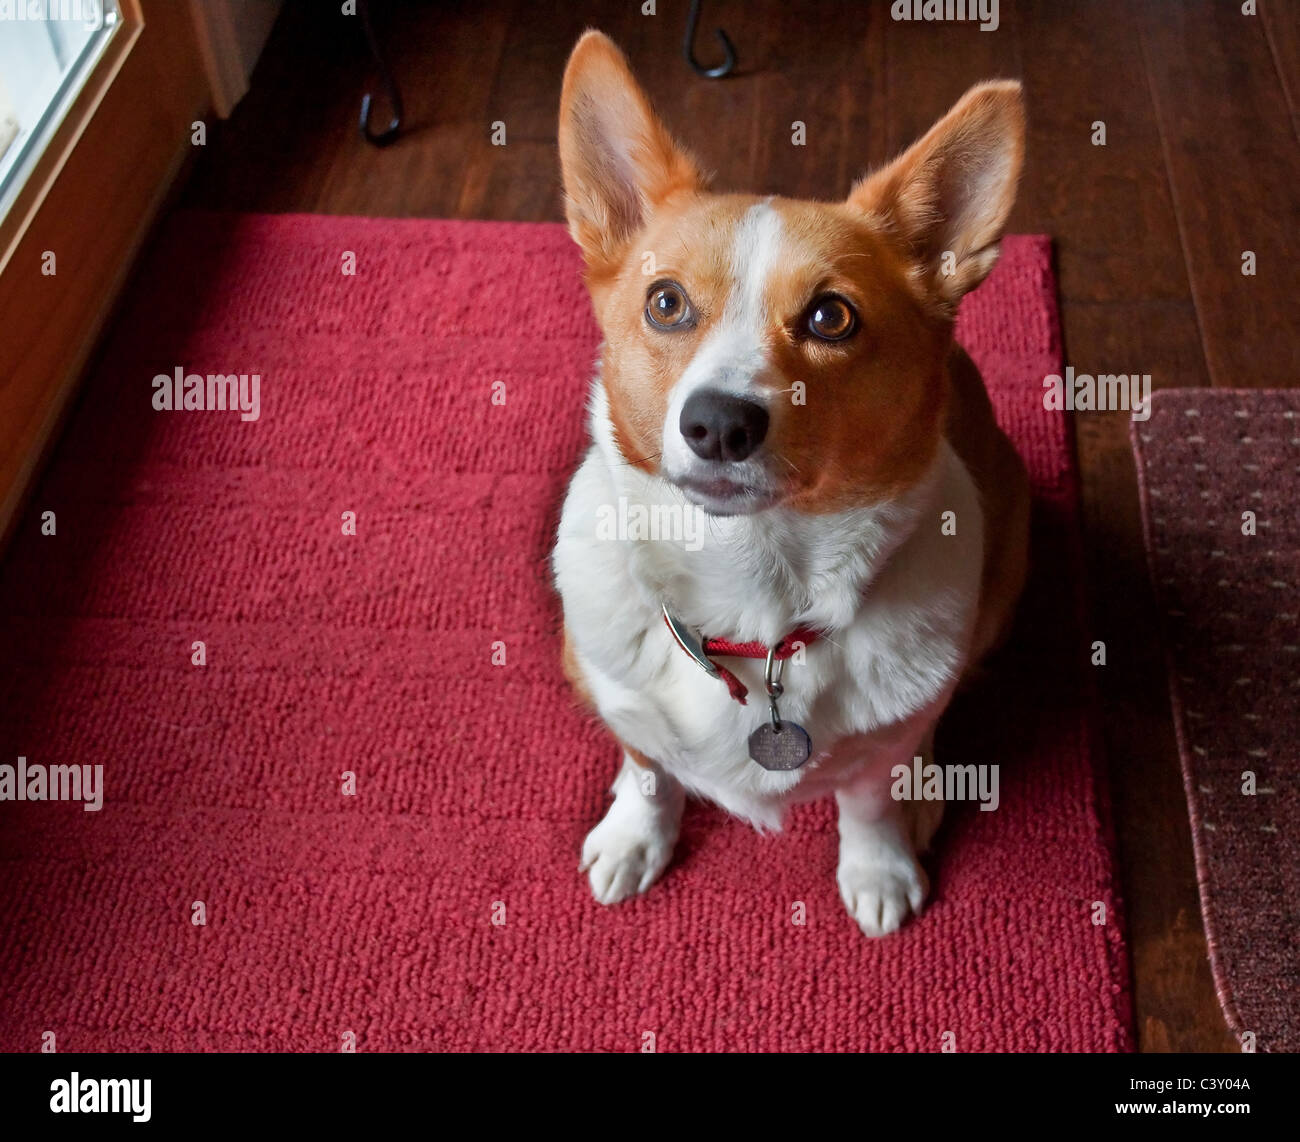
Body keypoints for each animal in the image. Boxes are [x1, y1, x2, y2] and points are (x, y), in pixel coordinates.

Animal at [553, 31, 1029, 936]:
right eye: (666, 303)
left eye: (830, 317)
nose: (717, 424)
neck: (752, 585)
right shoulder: (617, 695)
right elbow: (647, 767)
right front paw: (635, 834)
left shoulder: (885, 743)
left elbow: (870, 797)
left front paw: (879, 868)